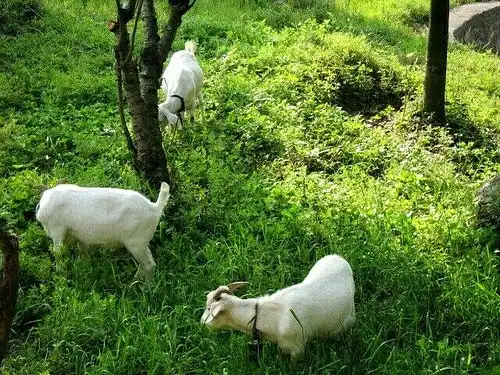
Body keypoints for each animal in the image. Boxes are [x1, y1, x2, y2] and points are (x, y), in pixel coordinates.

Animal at [35, 182, 171, 282]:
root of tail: (154, 208)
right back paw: (135, 281)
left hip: (136, 242)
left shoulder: (57, 230)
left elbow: (58, 253)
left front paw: (60, 274)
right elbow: (82, 250)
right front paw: (86, 268)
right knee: (146, 264)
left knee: (149, 265)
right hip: (142, 242)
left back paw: (145, 287)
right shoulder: (78, 236)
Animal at [200, 254, 356, 360]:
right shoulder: (283, 346)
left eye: (209, 308)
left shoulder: (297, 348)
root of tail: (338, 257)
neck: (264, 314)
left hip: (350, 315)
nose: (201, 323)